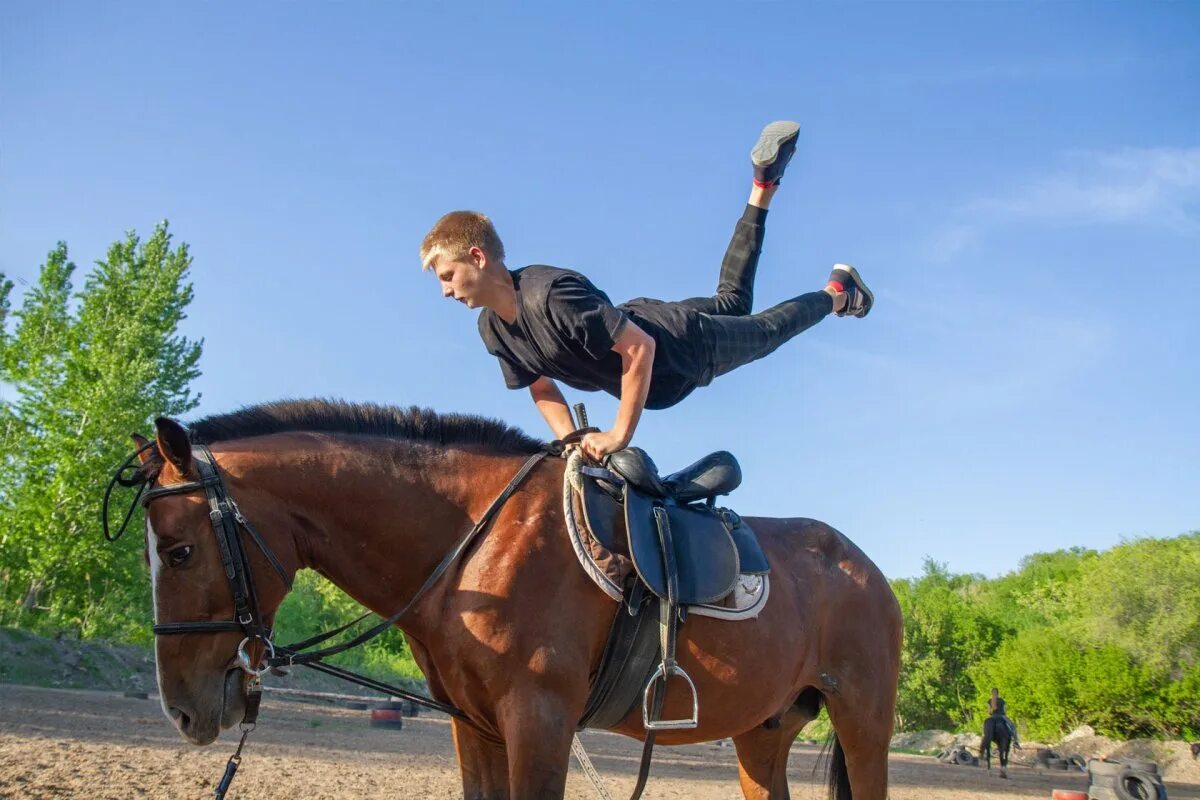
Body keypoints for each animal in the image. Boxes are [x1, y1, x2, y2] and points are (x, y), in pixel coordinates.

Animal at [126, 402, 902, 800]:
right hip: (761, 734)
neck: (471, 546)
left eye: (179, 551)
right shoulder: (475, 727)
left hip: (864, 726)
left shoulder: (539, 722)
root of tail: (867, 570)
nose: (182, 711)